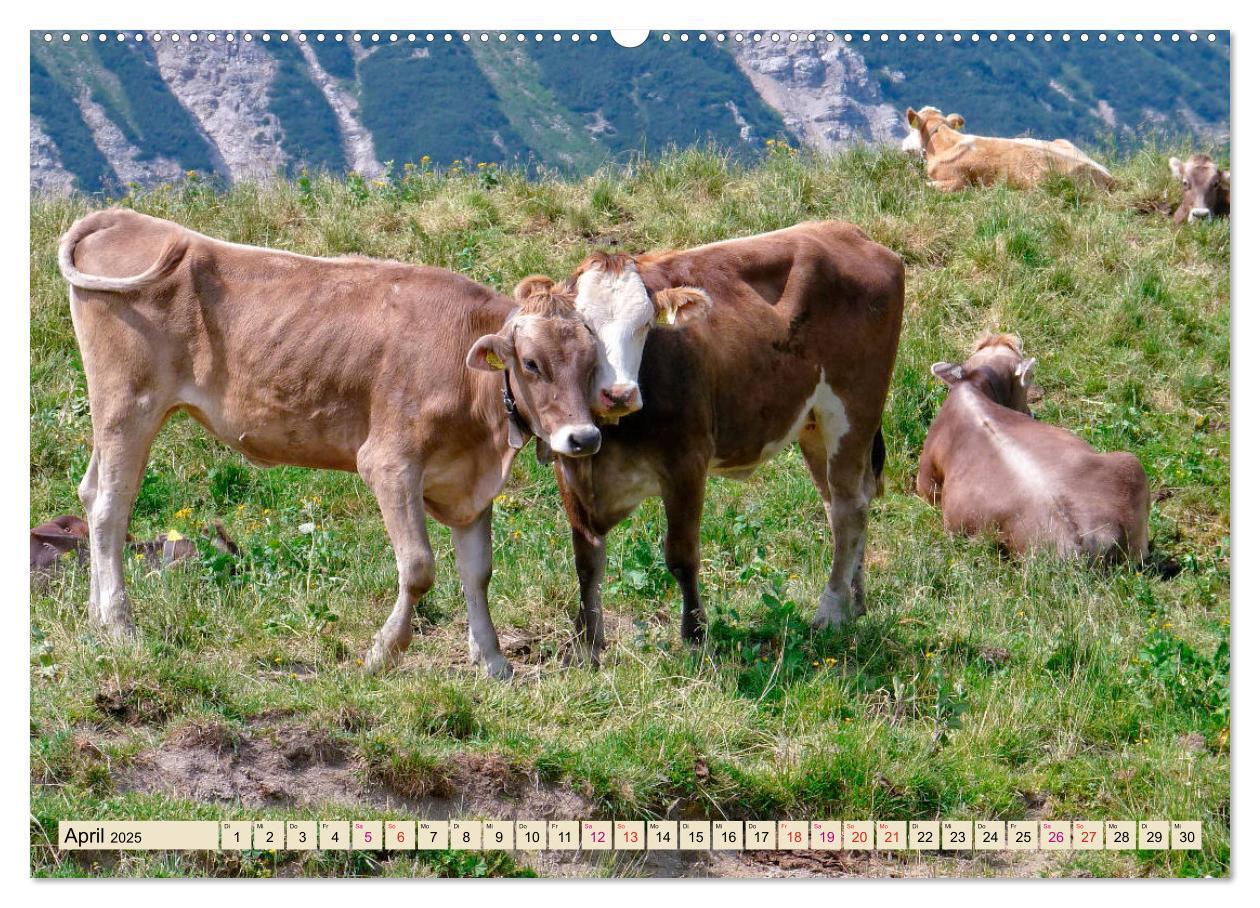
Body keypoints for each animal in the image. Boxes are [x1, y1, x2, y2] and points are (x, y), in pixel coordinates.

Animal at [52, 207, 594, 675]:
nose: (584, 437)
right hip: (128, 404)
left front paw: (494, 662)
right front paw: (382, 653)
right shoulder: (389, 463)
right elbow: (419, 567)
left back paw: (95, 620)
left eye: (593, 362)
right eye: (531, 363)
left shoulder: (468, 482)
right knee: (110, 508)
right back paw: (119, 626)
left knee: (90, 493)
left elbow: (478, 572)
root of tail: (125, 217)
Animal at [521, 219, 907, 659]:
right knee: (841, 504)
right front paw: (587, 645)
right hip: (814, 424)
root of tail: (849, 232)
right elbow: (586, 560)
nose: (618, 393)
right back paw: (854, 600)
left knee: (848, 508)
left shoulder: (686, 463)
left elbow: (681, 556)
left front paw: (695, 635)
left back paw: (831, 611)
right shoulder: (569, 468)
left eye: (645, 325)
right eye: (584, 328)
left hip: (854, 409)